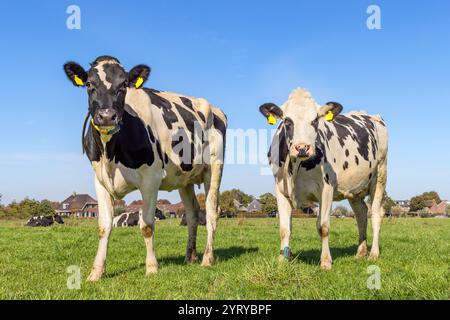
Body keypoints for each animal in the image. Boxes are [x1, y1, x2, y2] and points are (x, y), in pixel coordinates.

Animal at [63, 56, 227, 282]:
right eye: (89, 84)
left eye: (124, 85)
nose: (107, 116)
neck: (111, 155)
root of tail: (215, 108)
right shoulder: (100, 181)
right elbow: (104, 227)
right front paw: (96, 272)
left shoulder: (151, 179)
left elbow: (147, 225)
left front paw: (151, 268)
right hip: (184, 178)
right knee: (193, 212)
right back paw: (190, 256)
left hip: (214, 168)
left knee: (211, 211)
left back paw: (207, 259)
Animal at [260, 89, 386, 268]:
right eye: (287, 121)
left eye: (314, 121)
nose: (302, 147)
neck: (295, 167)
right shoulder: (280, 189)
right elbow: (284, 228)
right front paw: (282, 260)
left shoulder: (327, 188)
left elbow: (323, 226)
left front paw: (326, 261)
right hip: (354, 189)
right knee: (361, 213)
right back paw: (361, 252)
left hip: (380, 175)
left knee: (376, 213)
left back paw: (373, 254)